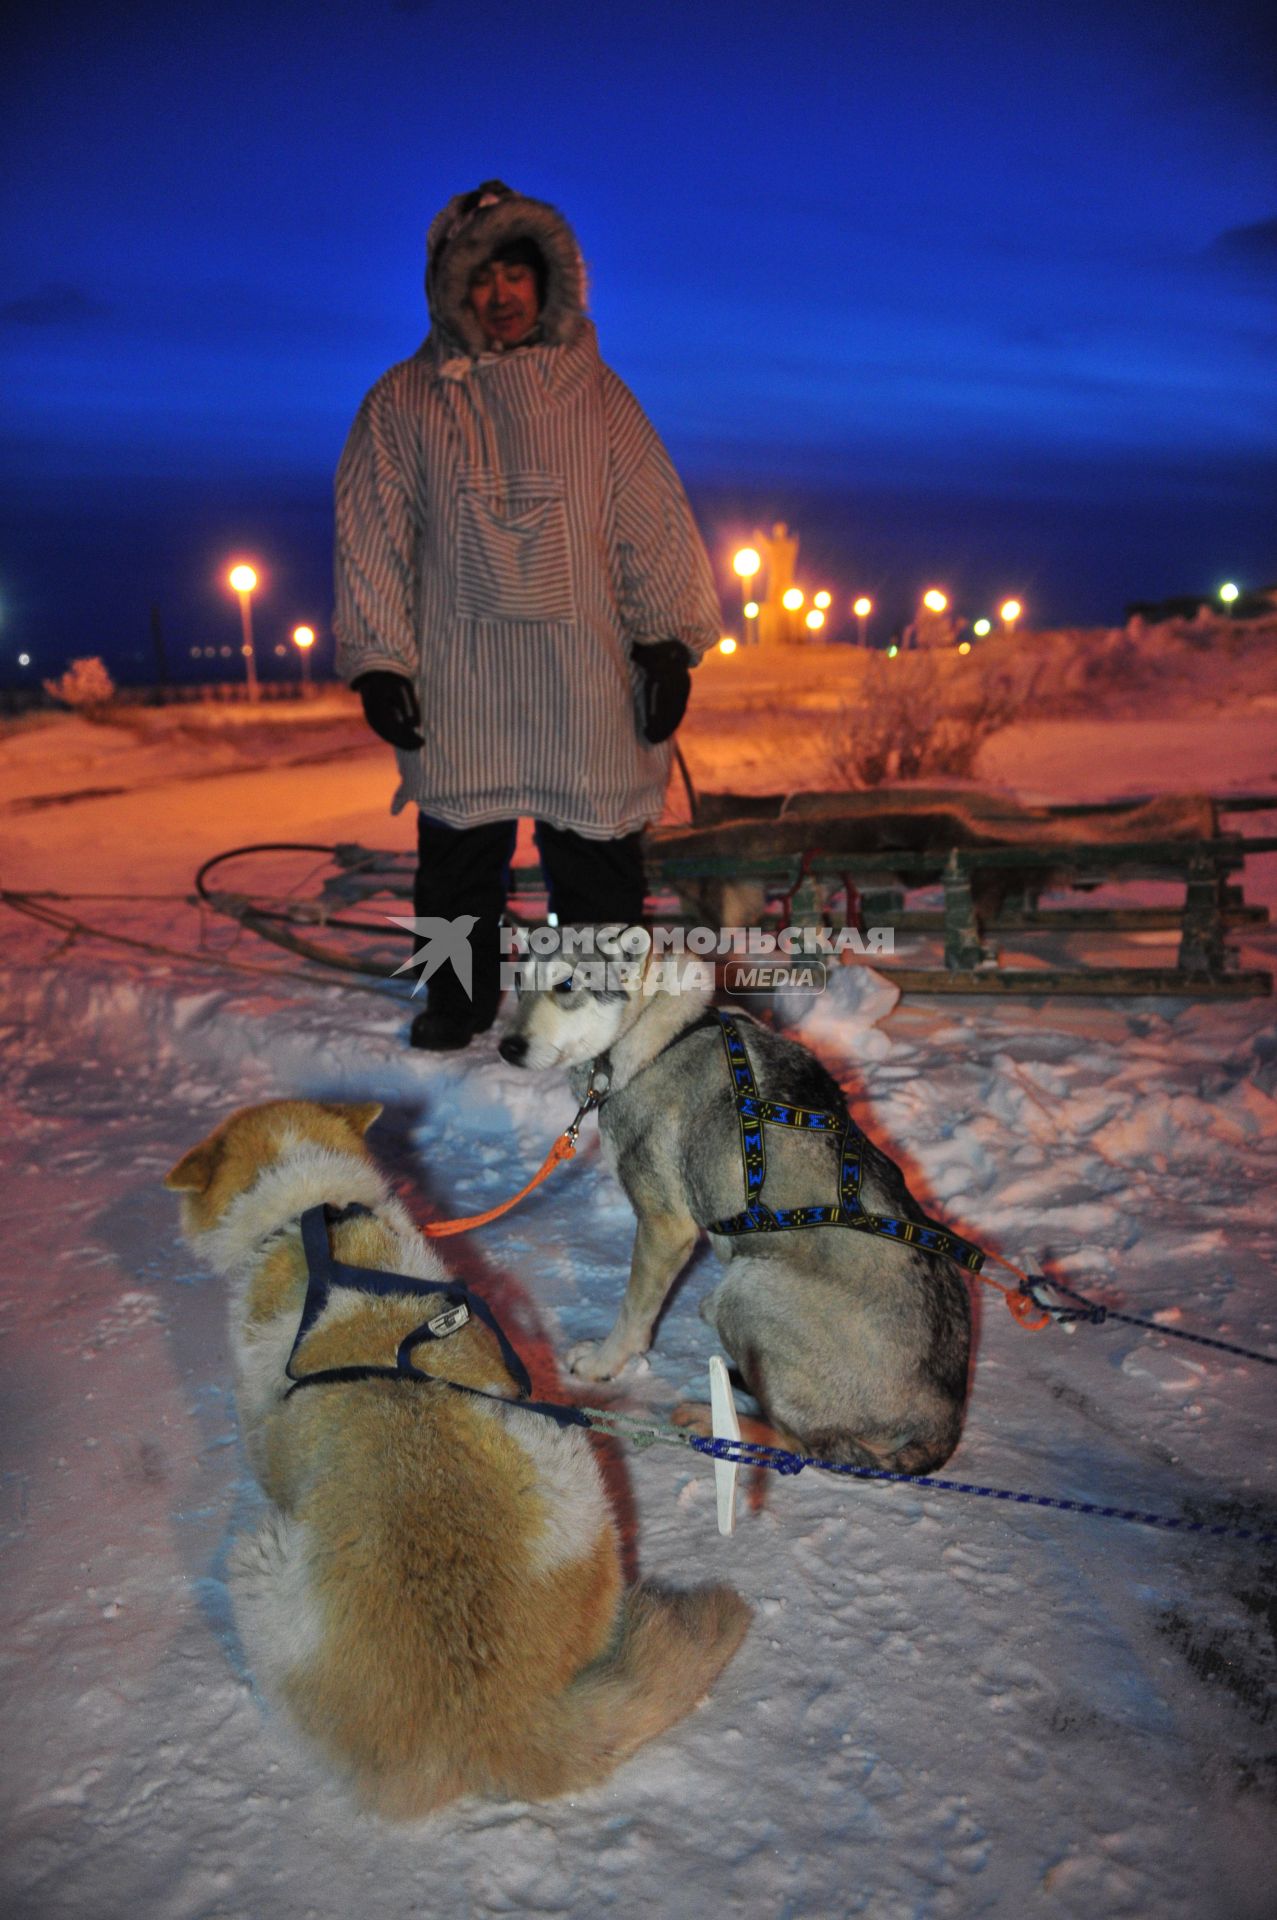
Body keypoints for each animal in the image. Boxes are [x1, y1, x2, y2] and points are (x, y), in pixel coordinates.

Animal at [499, 956, 967, 1466]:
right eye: (518, 980)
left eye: (566, 984)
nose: (506, 1047)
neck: (657, 1032)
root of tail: (943, 1427)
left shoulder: (665, 1225)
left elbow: (633, 1315)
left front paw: (603, 1365)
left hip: (741, 1292)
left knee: (800, 1446)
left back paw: (714, 1424)